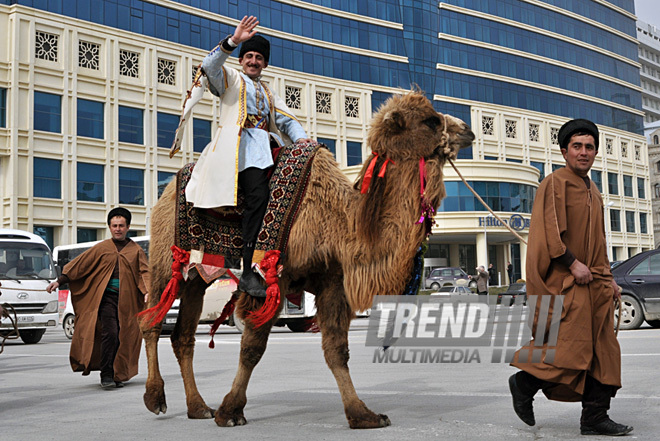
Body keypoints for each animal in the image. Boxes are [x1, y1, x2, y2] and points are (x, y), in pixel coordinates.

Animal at [142, 91, 474, 428]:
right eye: (430, 120)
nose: (467, 130)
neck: (340, 222)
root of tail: (166, 190)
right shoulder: (273, 276)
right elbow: (252, 346)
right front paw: (230, 411)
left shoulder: (332, 281)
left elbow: (336, 350)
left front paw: (363, 414)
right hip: (164, 258)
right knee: (151, 320)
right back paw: (156, 399)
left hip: (197, 275)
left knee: (183, 335)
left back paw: (198, 407)